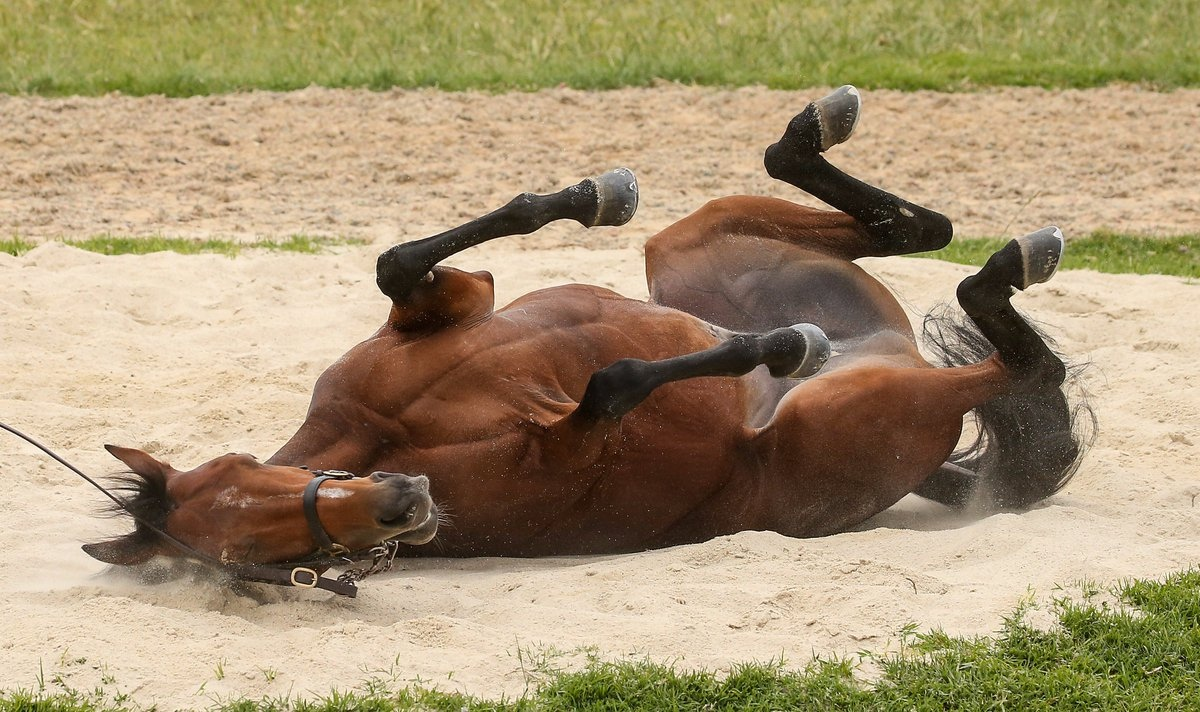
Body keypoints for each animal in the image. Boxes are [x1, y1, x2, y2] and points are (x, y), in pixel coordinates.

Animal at [84, 88, 1094, 576]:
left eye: (245, 478)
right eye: (259, 557)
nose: (400, 507)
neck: (381, 439)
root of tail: (890, 355)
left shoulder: (452, 307)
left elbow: (406, 263)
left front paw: (587, 195)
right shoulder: (574, 446)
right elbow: (613, 383)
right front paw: (772, 351)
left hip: (690, 247)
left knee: (913, 233)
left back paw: (831, 139)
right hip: (851, 411)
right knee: (1013, 361)